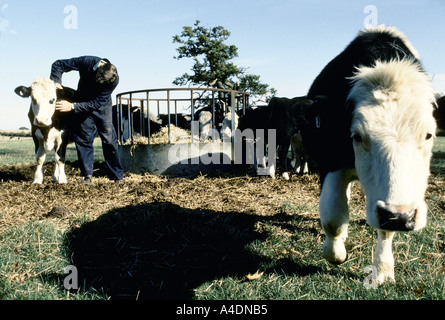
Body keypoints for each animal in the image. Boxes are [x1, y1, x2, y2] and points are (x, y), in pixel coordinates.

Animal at [304, 25, 436, 284]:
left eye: (428, 135)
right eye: (356, 136)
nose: (402, 217)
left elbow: (385, 231)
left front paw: (383, 269)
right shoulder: (330, 162)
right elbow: (333, 216)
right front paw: (335, 253)